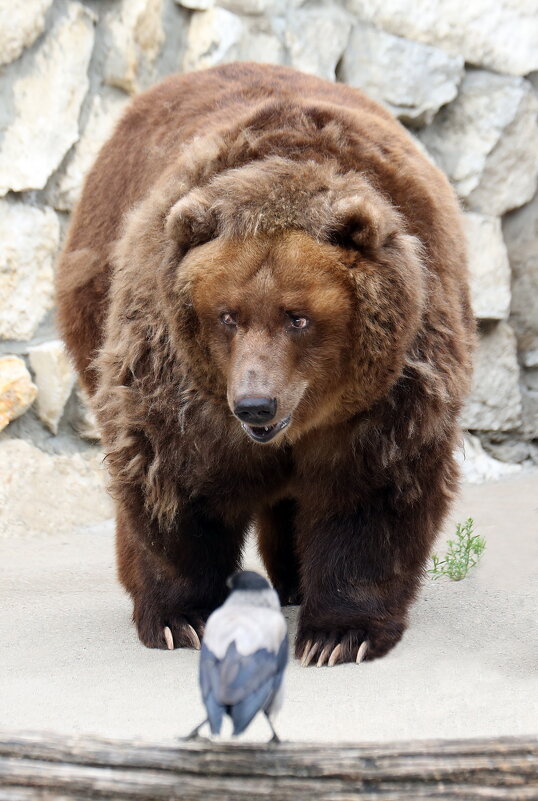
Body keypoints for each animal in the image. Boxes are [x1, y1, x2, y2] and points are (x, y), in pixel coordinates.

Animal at [55, 61, 474, 664]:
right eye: (226, 315)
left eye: (298, 317)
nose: (255, 404)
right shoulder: (180, 380)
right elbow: (174, 479)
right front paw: (180, 618)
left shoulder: (393, 386)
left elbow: (370, 491)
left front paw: (337, 635)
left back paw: (295, 581)